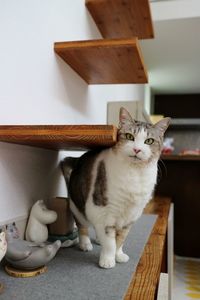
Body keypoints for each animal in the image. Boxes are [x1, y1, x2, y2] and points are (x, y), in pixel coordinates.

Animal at [61, 108, 170, 270]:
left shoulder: (131, 216)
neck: (135, 174)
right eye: (129, 136)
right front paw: (108, 260)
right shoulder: (104, 211)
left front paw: (118, 255)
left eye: (149, 141)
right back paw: (85, 244)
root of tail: (78, 160)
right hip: (78, 207)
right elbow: (110, 242)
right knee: (82, 226)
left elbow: (120, 240)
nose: (137, 149)